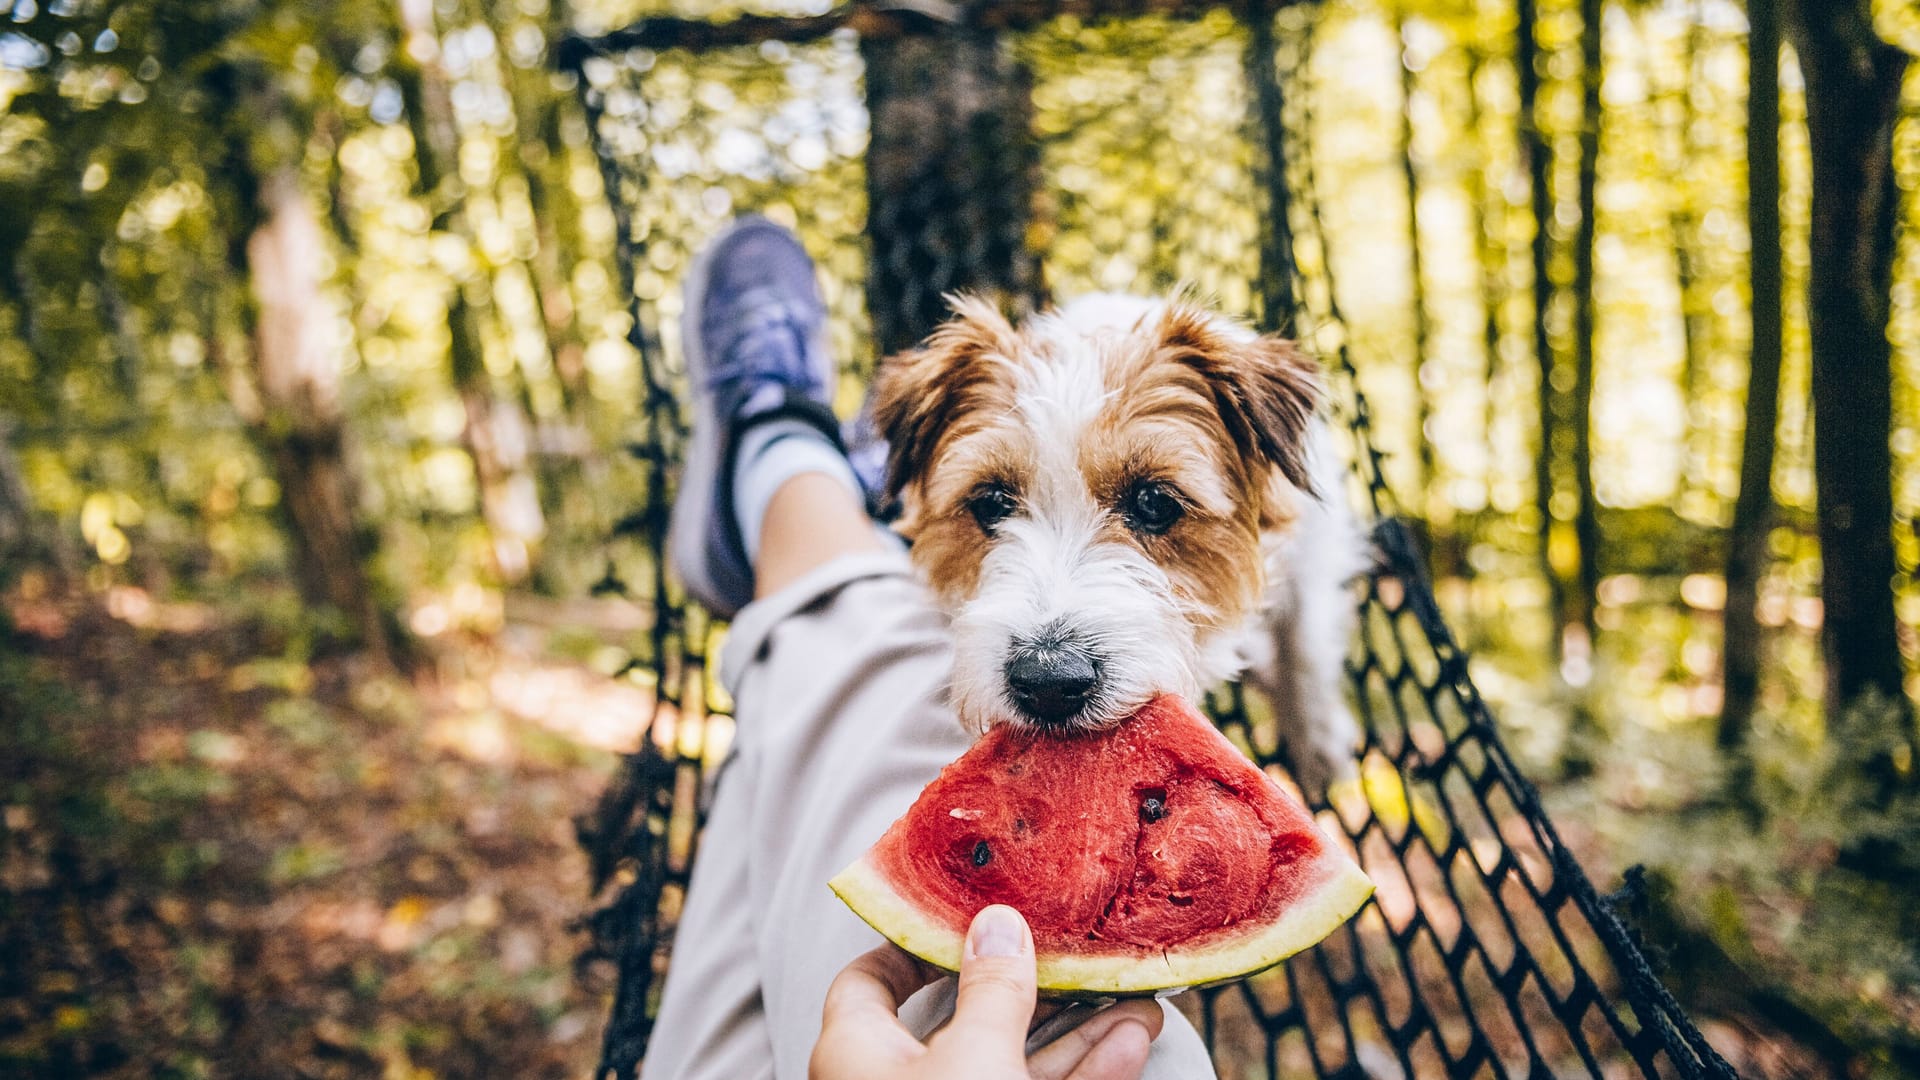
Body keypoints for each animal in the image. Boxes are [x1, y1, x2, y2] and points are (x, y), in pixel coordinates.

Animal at [871, 290, 1367, 795]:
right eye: (990, 502)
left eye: (1155, 501)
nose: (1048, 681)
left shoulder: (1313, 549)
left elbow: (1304, 646)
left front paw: (1319, 744)